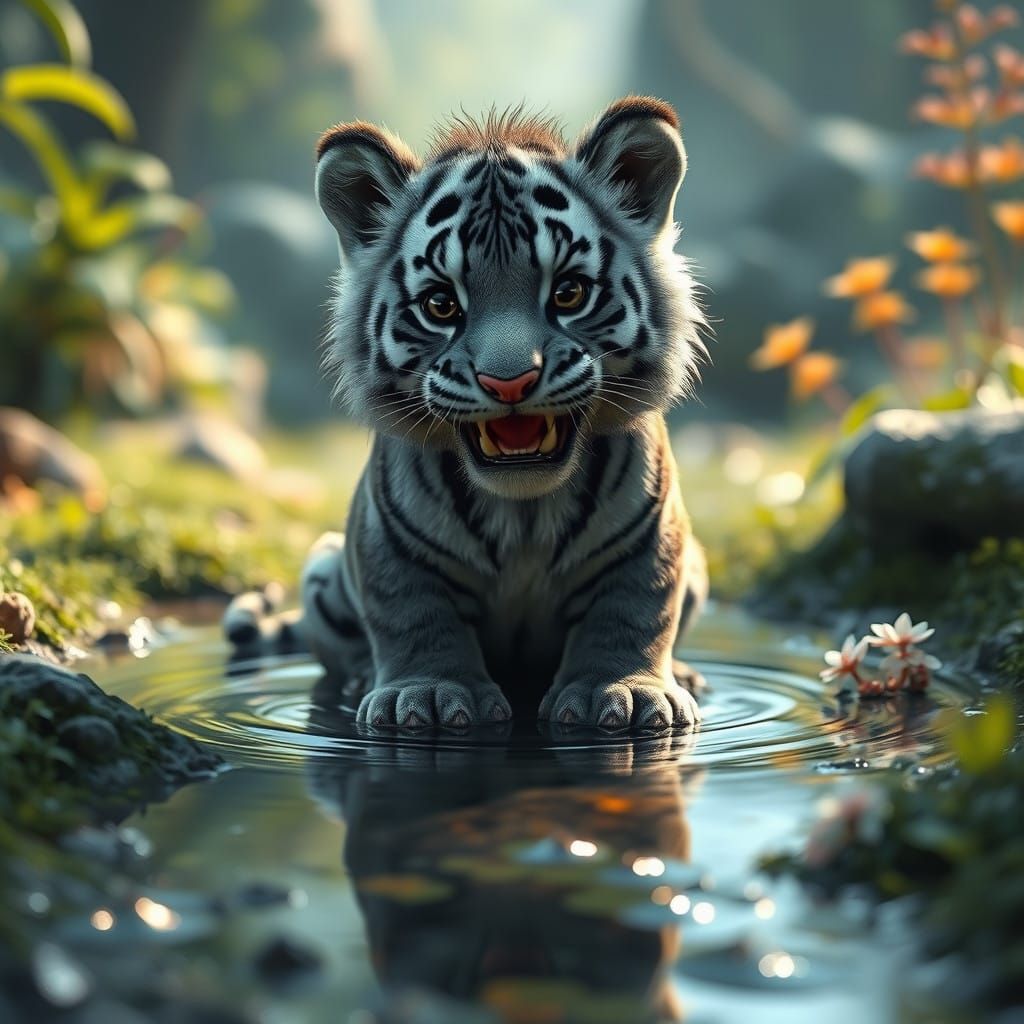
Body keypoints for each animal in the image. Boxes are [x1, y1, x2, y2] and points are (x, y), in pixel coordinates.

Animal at [224, 95, 709, 733]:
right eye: (441, 305)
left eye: (568, 294)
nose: (509, 381)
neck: (525, 511)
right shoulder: (390, 542)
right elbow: (412, 612)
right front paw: (428, 695)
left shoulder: (653, 535)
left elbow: (634, 609)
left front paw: (622, 693)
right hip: (321, 571)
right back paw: (359, 677)